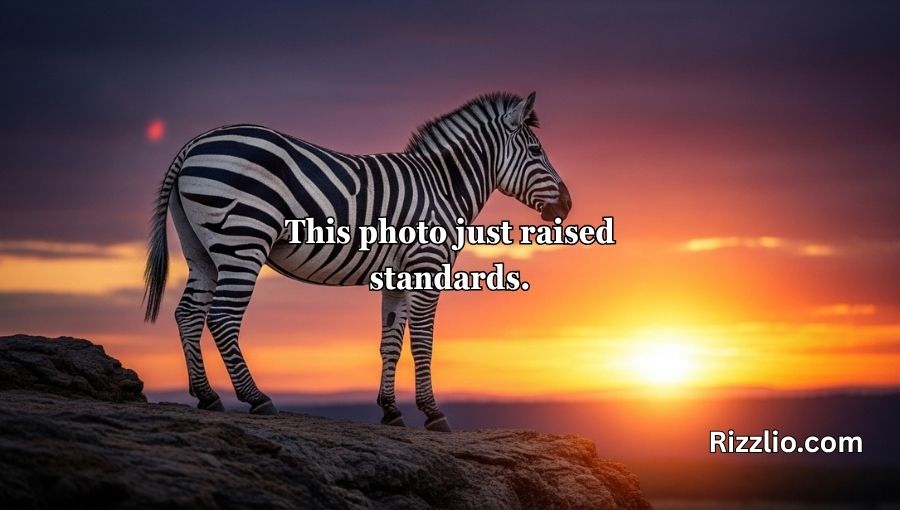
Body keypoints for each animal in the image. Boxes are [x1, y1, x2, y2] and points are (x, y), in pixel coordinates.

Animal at [143, 92, 572, 432]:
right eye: (537, 151)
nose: (567, 206)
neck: (443, 187)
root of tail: (195, 143)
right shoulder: (427, 265)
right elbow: (423, 342)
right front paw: (433, 413)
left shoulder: (399, 275)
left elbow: (390, 342)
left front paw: (391, 411)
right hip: (243, 237)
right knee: (222, 318)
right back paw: (257, 398)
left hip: (202, 249)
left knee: (188, 313)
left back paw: (206, 395)